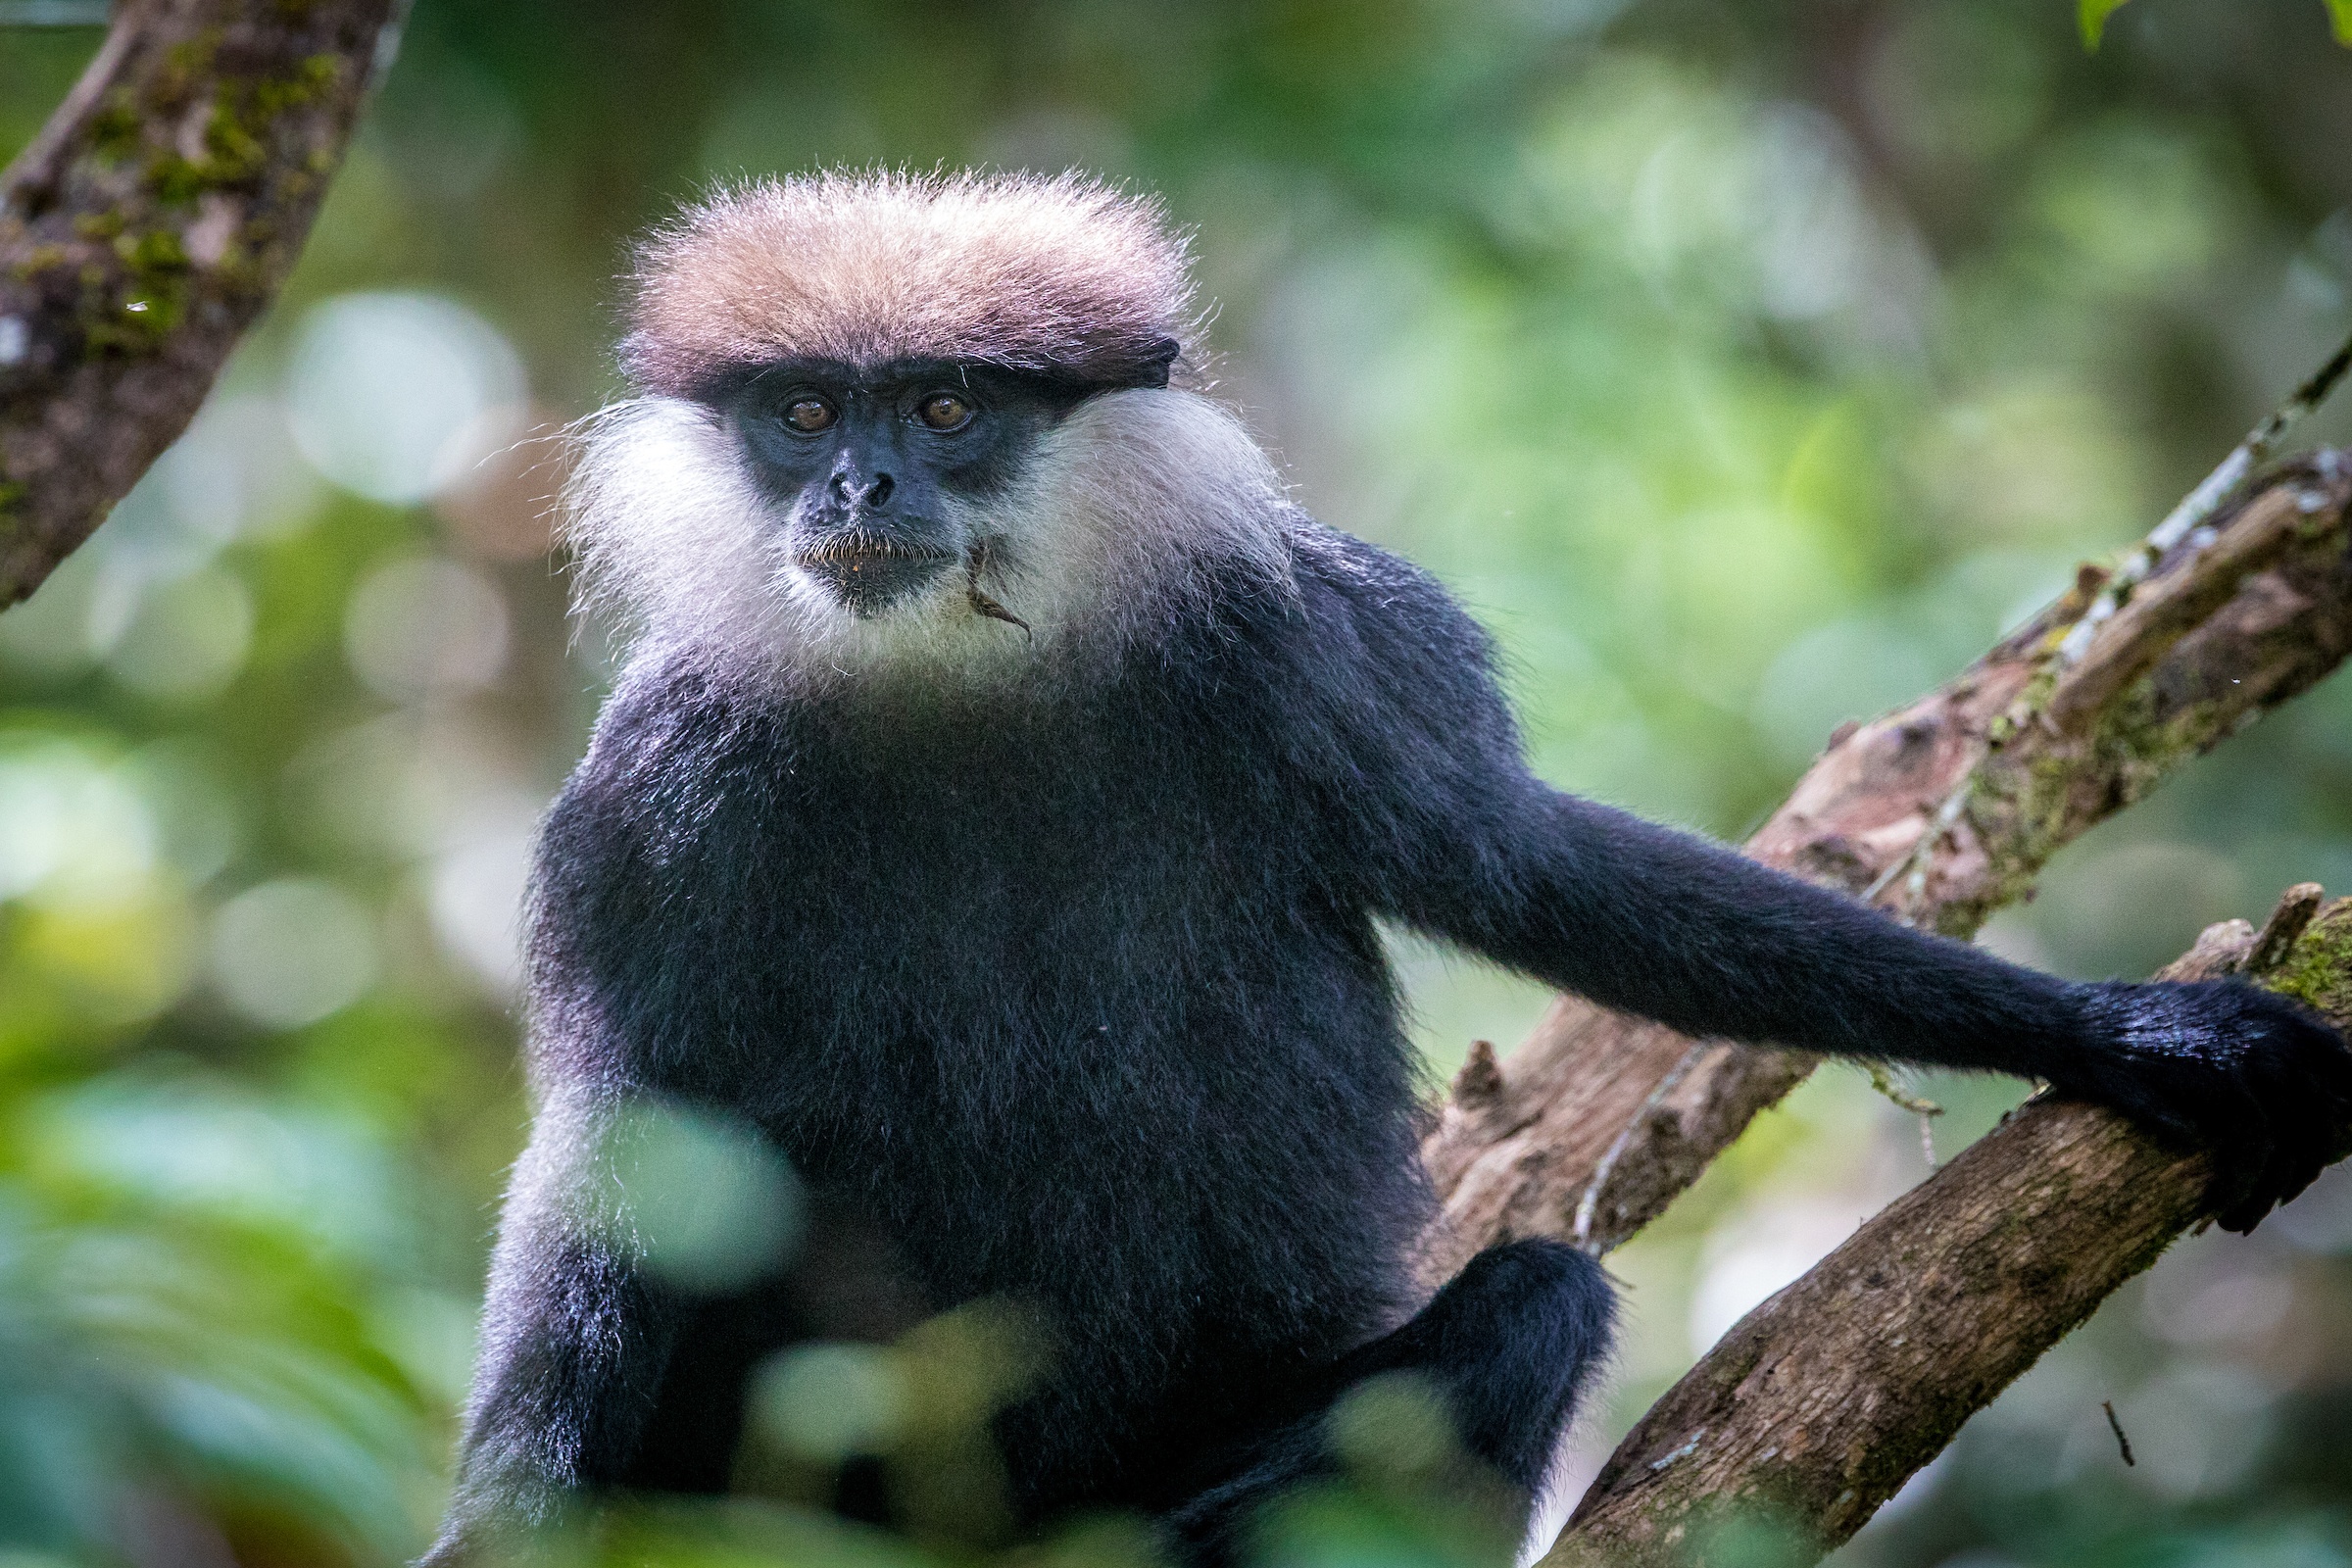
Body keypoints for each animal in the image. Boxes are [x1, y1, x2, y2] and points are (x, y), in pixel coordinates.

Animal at [426, 171, 2352, 1567]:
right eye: (809, 412)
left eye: (950, 405)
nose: (859, 493)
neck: (956, 693)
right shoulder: (651, 803)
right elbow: (633, 1135)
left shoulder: (1317, 652)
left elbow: (1538, 871)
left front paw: (2130, 1033)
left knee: (1539, 1301)